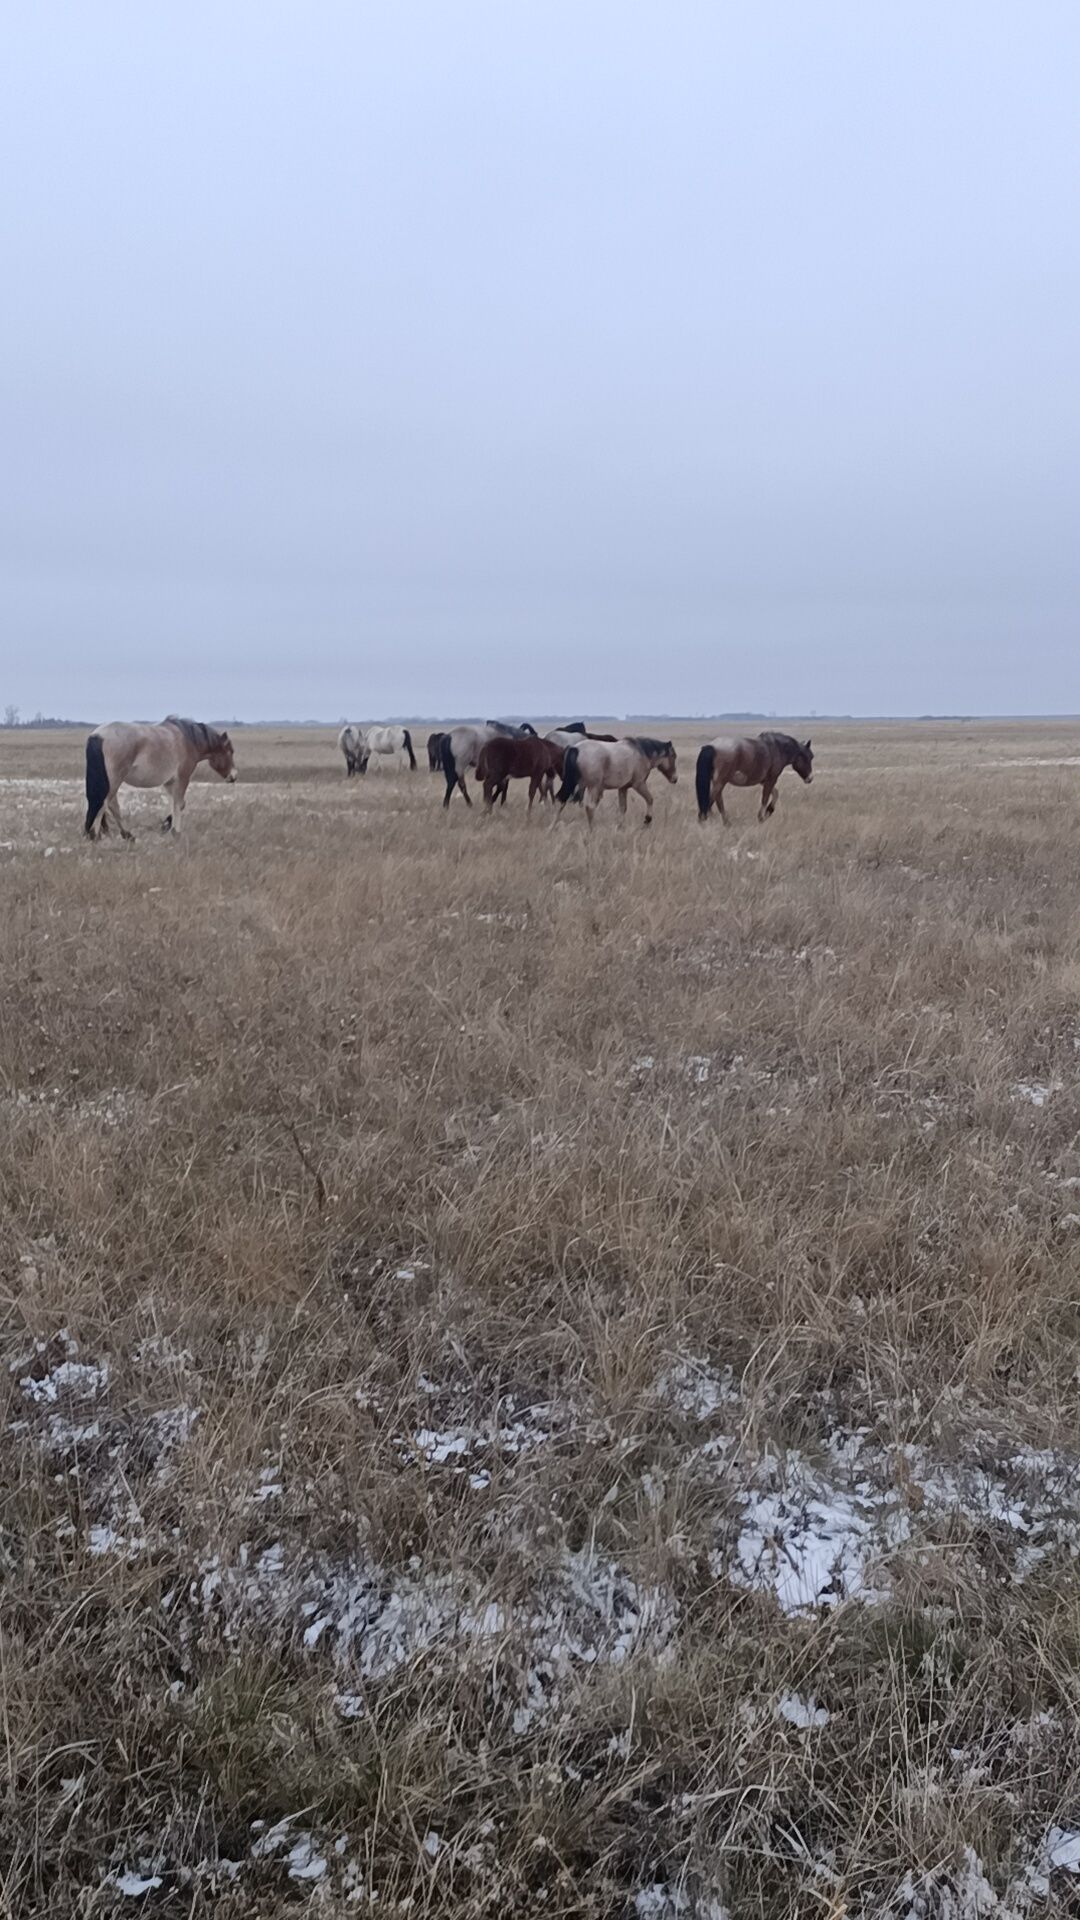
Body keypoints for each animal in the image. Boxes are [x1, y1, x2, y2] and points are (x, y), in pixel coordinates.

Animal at [83, 714, 235, 840]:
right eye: (229, 751)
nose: (233, 776)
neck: (188, 740)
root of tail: (98, 735)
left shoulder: (169, 782)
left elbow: (176, 804)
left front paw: (166, 825)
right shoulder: (182, 778)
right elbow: (179, 804)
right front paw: (176, 832)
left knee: (111, 805)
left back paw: (126, 835)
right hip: (114, 781)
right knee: (104, 804)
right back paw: (95, 835)